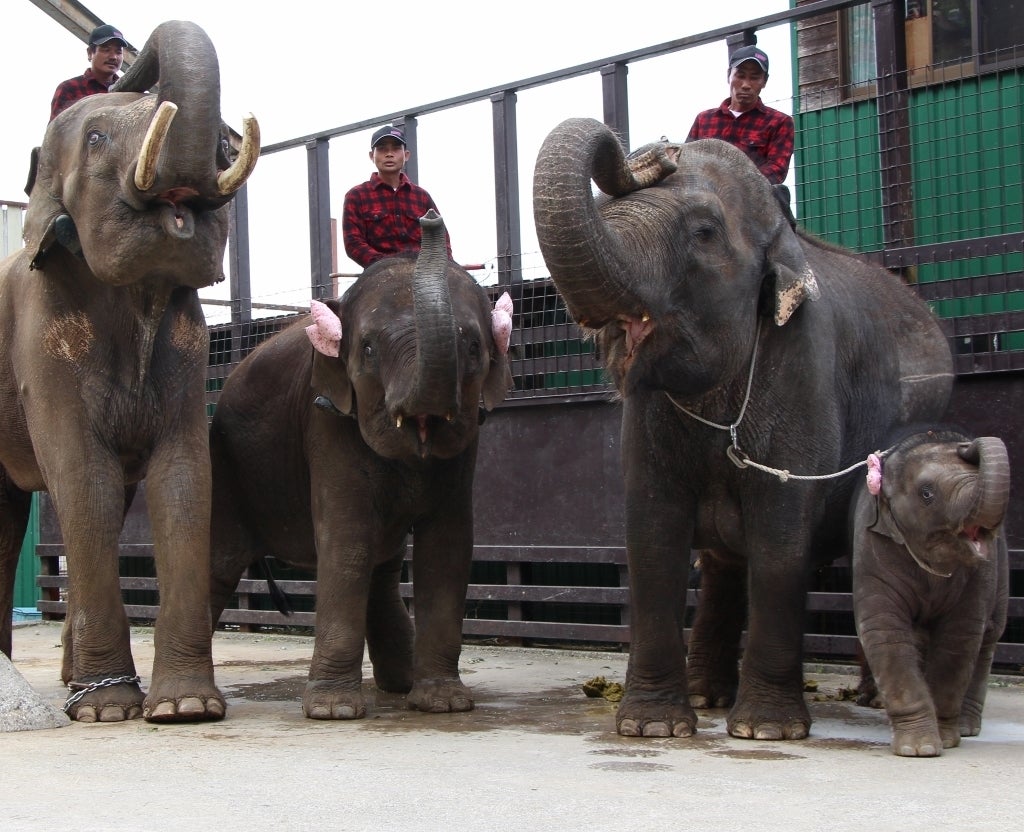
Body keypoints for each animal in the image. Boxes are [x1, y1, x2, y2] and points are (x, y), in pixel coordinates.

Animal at [0, 20, 259, 722]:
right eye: (95, 138)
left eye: (225, 141)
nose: (120, 57)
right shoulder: (41, 341)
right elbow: (83, 476)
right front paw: (107, 710)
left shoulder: (190, 352)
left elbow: (184, 478)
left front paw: (184, 709)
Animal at [208, 211, 513, 720]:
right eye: (367, 348)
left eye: (473, 347)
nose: (429, 217)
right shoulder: (327, 421)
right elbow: (346, 540)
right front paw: (333, 712)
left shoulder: (468, 443)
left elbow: (448, 546)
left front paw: (444, 704)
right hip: (226, 463)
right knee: (220, 564)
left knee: (382, 568)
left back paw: (401, 684)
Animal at [532, 117, 954, 740]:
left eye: (704, 232)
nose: (659, 150)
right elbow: (652, 533)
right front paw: (654, 729)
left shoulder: (803, 372)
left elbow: (780, 539)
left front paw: (768, 731)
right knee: (723, 564)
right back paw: (708, 696)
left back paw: (869, 698)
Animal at [851, 427, 1010, 757]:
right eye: (927, 493)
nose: (966, 444)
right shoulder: (872, 548)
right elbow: (884, 629)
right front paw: (919, 749)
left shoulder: (982, 572)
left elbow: (960, 636)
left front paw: (945, 740)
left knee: (988, 636)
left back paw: (967, 728)